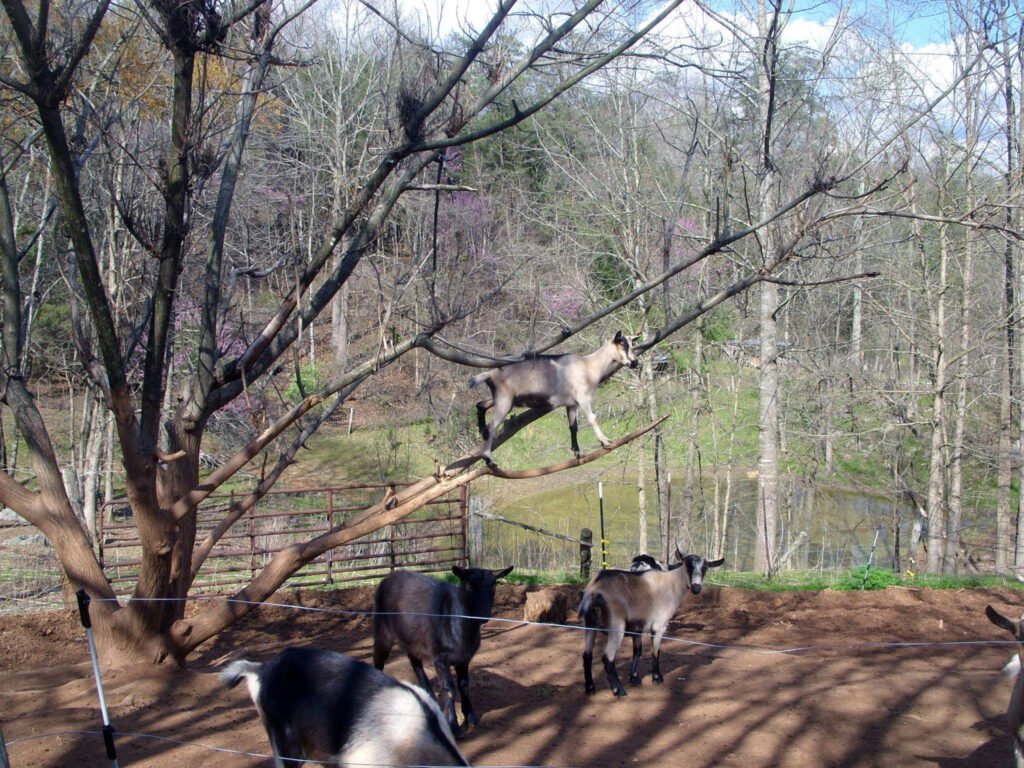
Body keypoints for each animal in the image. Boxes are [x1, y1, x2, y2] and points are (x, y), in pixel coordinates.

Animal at [373, 565, 513, 736]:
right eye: (467, 585)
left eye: (494, 584)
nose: (483, 614)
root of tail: (389, 577)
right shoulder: (440, 658)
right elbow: (450, 689)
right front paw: (454, 726)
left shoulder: (463, 658)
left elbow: (464, 686)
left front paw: (471, 717)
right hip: (383, 631)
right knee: (378, 661)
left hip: (411, 637)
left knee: (415, 663)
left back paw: (429, 696)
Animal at [468, 331, 639, 465]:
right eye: (622, 344)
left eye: (632, 344)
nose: (635, 362)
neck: (588, 366)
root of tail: (490, 374)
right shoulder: (583, 397)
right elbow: (593, 419)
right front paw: (605, 441)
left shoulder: (572, 404)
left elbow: (573, 427)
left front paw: (577, 452)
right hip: (504, 401)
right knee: (492, 425)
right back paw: (489, 458)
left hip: (501, 398)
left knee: (481, 404)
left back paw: (482, 430)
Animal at [579, 549, 724, 696]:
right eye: (688, 566)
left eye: (705, 568)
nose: (696, 588)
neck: (671, 584)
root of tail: (594, 590)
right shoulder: (659, 625)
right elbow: (655, 652)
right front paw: (657, 678)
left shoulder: (637, 626)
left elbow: (637, 651)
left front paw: (635, 678)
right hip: (616, 625)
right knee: (607, 657)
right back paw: (618, 690)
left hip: (590, 624)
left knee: (587, 655)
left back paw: (590, 688)